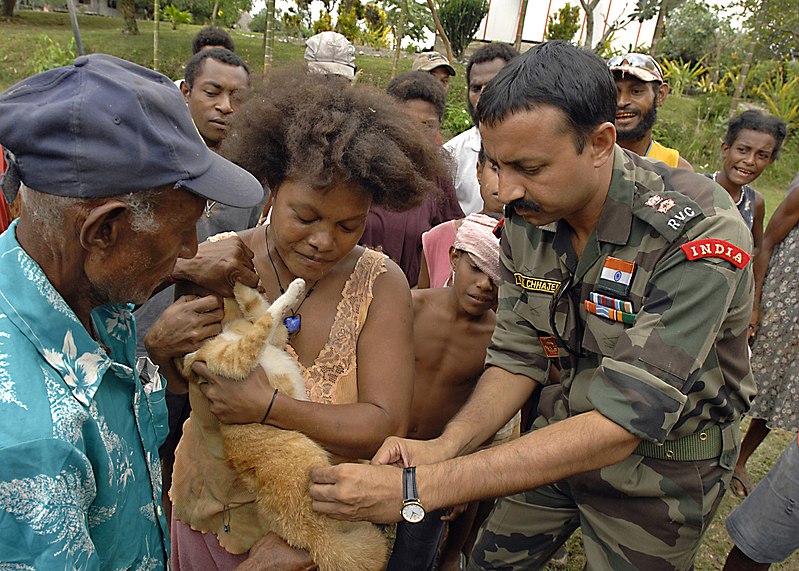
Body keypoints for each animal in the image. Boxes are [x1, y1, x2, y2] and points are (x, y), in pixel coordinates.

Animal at [177, 282, 388, 571]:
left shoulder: (274, 338)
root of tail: (314, 537)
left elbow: (258, 307)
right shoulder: (239, 358)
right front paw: (291, 289)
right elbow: (267, 316)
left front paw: (241, 285)